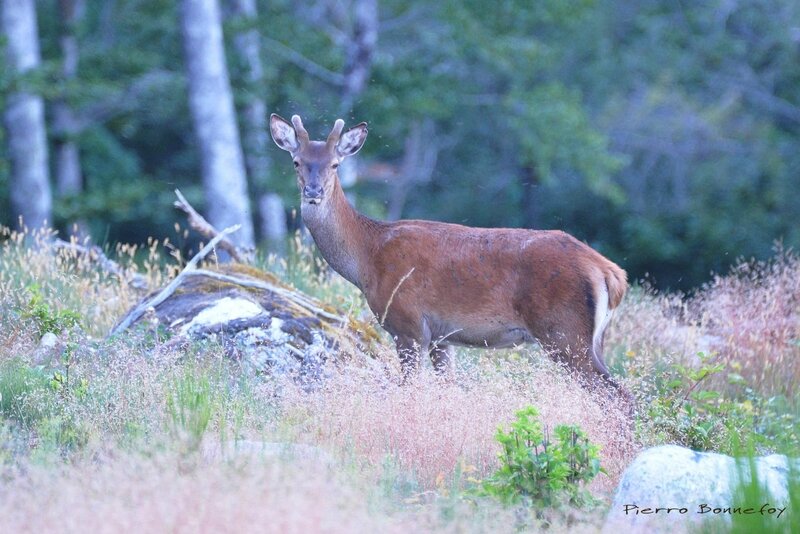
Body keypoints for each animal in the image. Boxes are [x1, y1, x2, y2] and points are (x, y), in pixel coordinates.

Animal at [270, 115, 632, 402]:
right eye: (297, 161)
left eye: (335, 164)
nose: (313, 192)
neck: (367, 259)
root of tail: (612, 273)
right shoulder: (442, 338)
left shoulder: (408, 323)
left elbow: (411, 391)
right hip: (591, 338)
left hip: (564, 332)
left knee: (618, 396)